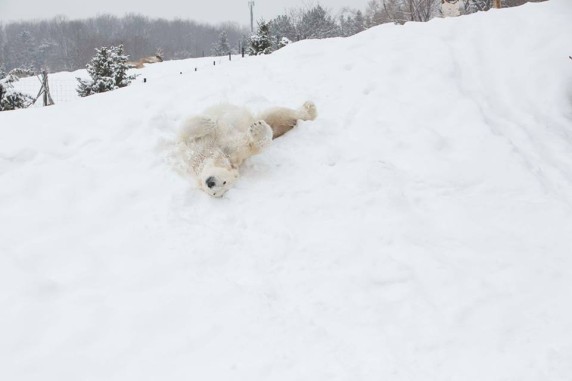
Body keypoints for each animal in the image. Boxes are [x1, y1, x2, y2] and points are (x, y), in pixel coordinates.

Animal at [174, 99, 318, 197]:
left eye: (224, 183)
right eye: (214, 193)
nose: (211, 183)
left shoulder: (229, 152)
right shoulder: (190, 153)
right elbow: (183, 134)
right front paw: (207, 123)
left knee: (277, 113)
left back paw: (309, 108)